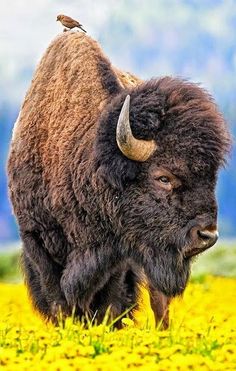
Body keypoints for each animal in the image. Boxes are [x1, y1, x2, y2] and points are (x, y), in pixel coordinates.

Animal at [7, 32, 230, 328]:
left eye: (211, 176)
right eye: (163, 177)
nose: (206, 235)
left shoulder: (119, 255)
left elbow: (110, 305)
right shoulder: (37, 242)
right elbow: (58, 302)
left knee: (160, 305)